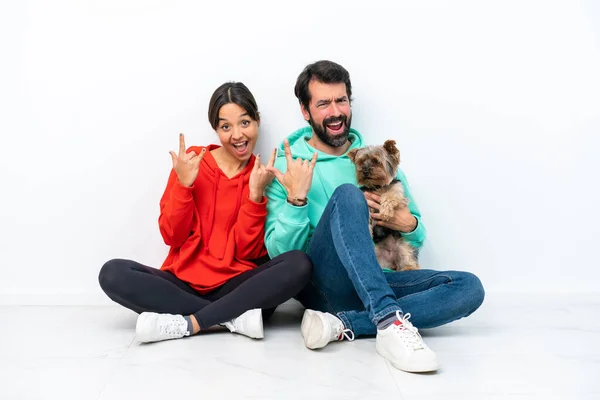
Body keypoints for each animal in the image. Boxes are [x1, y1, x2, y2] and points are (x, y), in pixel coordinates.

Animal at [350, 140, 420, 272]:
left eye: (376, 161)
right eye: (361, 162)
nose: (365, 171)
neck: (377, 186)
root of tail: (392, 261)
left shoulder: (398, 191)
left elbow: (390, 195)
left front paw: (385, 211)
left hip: (403, 245)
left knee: (408, 255)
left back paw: (409, 267)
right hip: (378, 253)